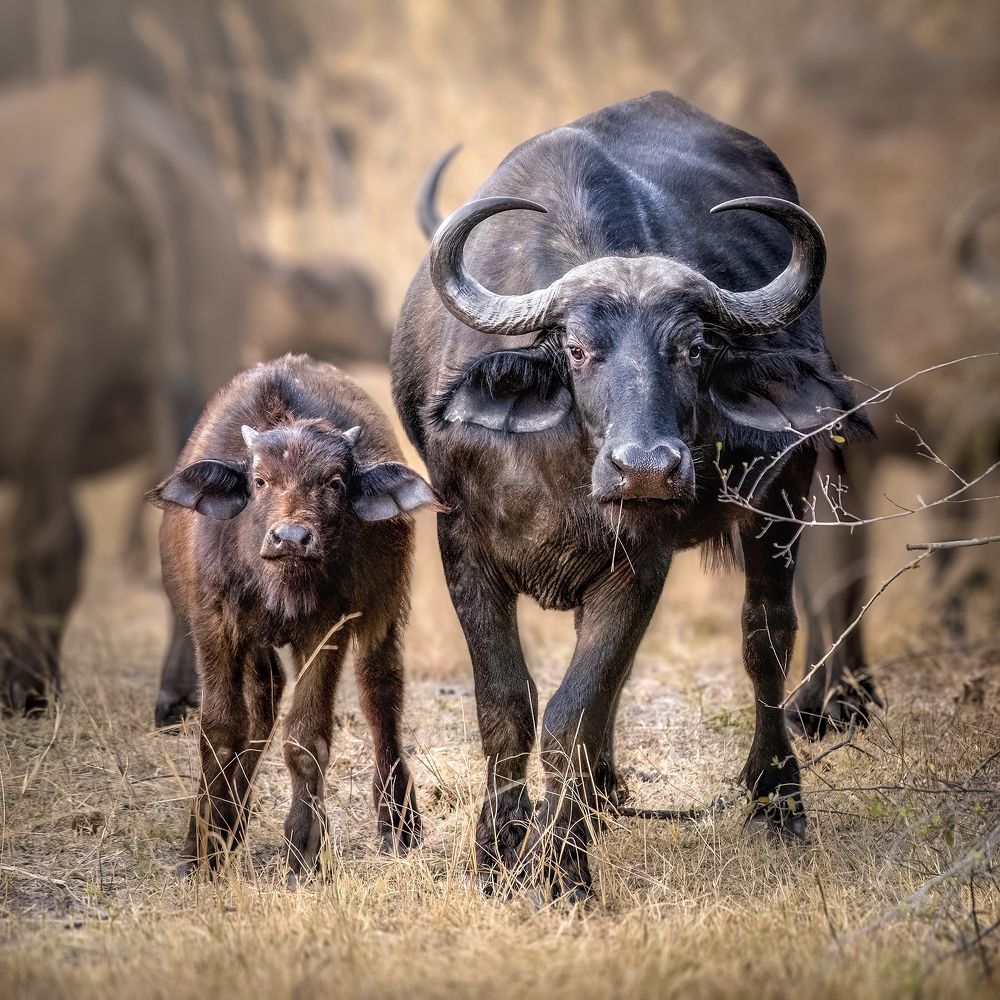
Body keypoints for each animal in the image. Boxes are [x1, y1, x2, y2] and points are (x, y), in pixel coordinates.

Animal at [147, 354, 438, 879]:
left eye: (335, 482)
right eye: (260, 480)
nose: (291, 538)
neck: (281, 583)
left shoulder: (328, 628)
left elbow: (306, 736)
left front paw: (303, 849)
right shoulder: (214, 624)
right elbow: (220, 729)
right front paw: (203, 845)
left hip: (383, 613)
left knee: (380, 695)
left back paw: (398, 823)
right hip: (254, 638)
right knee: (264, 697)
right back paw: (231, 820)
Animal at [392, 92, 871, 900]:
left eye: (695, 348)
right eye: (578, 349)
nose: (646, 467)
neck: (560, 467)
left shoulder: (639, 561)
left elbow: (573, 714)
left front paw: (562, 868)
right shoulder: (463, 549)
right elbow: (506, 704)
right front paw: (499, 851)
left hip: (783, 497)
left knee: (766, 635)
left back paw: (776, 798)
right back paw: (607, 796)